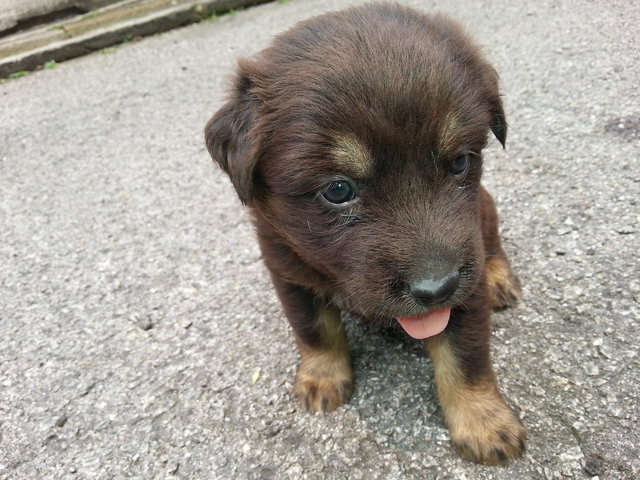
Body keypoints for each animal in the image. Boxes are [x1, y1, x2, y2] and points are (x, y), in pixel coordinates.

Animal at [204, 0, 524, 464]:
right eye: (338, 190)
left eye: (460, 162)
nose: (438, 288)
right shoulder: (288, 272)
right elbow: (315, 331)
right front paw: (321, 378)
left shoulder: (468, 286)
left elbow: (466, 357)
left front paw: (484, 422)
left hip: (485, 209)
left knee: (494, 245)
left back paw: (501, 279)